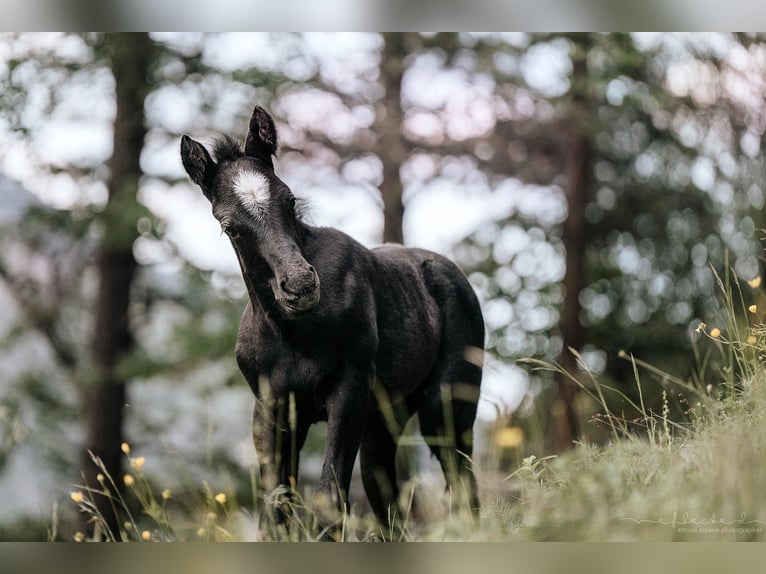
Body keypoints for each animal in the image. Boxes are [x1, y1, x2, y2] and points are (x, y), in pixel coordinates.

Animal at [182, 104, 486, 540]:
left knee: (461, 480)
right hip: (384, 419)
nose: (300, 285)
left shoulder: (349, 391)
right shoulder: (273, 407)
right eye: (229, 226)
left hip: (446, 404)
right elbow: (276, 505)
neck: (292, 333)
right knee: (386, 493)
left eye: (290, 200)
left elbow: (328, 496)